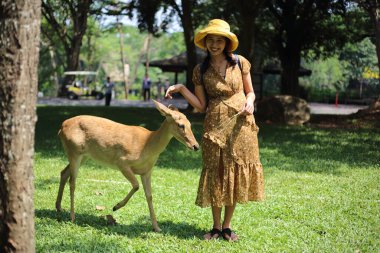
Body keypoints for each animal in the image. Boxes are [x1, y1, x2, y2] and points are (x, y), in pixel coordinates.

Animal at [56, 99, 200, 231]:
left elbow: (149, 196)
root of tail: (61, 127)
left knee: (63, 173)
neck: (147, 144)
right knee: (72, 181)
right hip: (74, 151)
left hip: (84, 156)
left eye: (190, 124)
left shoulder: (147, 171)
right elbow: (136, 185)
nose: (196, 146)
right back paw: (72, 217)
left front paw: (156, 227)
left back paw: (59, 207)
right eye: (180, 125)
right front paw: (115, 206)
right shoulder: (122, 161)